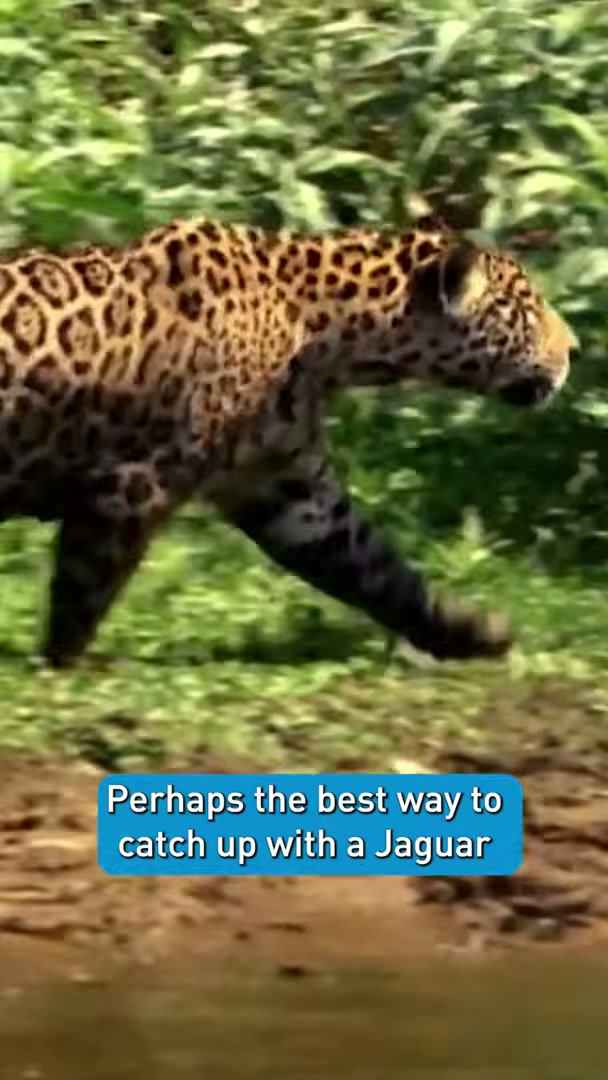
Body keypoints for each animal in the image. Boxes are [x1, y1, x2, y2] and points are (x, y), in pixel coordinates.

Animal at [0, 213, 577, 669]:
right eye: (528, 309)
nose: (574, 347)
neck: (319, 327)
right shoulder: (133, 483)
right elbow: (84, 585)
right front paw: (63, 662)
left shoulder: (291, 490)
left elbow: (378, 569)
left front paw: (468, 632)